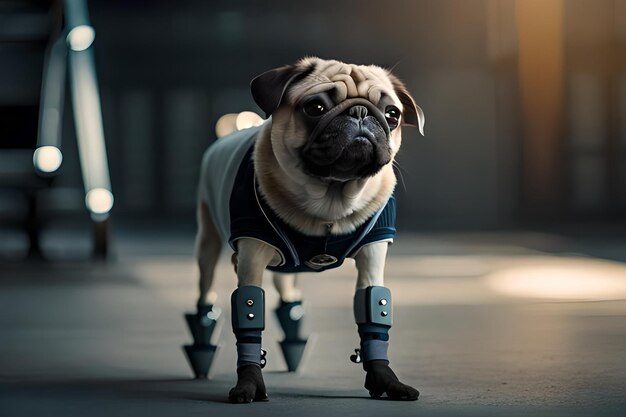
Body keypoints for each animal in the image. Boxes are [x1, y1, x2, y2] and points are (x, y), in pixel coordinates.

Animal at [195, 57, 424, 402]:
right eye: (315, 107)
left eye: (392, 114)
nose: (360, 112)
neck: (329, 202)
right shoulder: (250, 258)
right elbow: (249, 314)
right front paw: (250, 383)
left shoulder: (373, 255)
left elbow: (374, 310)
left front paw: (384, 380)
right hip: (207, 244)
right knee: (206, 298)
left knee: (289, 303)